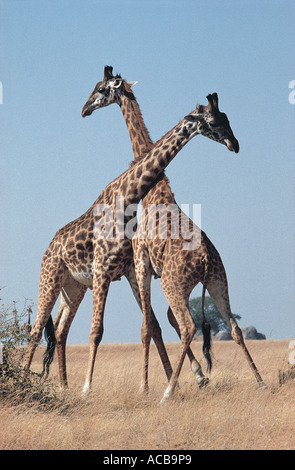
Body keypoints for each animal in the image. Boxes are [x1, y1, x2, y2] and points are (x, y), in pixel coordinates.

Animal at [24, 73, 239, 396]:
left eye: (225, 118)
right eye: (214, 121)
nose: (234, 144)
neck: (129, 197)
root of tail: (49, 247)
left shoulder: (129, 271)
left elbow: (151, 326)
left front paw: (174, 381)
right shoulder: (106, 270)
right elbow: (98, 331)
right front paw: (88, 388)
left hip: (73, 287)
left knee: (60, 331)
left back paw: (62, 385)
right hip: (50, 277)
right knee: (37, 329)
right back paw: (27, 382)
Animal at [81, 67, 264, 404]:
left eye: (100, 89)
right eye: (220, 119)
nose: (234, 144)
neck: (155, 189)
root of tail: (204, 260)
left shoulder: (141, 263)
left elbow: (147, 327)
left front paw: (146, 386)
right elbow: (161, 323)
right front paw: (196, 377)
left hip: (173, 282)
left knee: (189, 325)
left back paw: (166, 393)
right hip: (218, 281)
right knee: (232, 326)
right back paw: (260, 382)